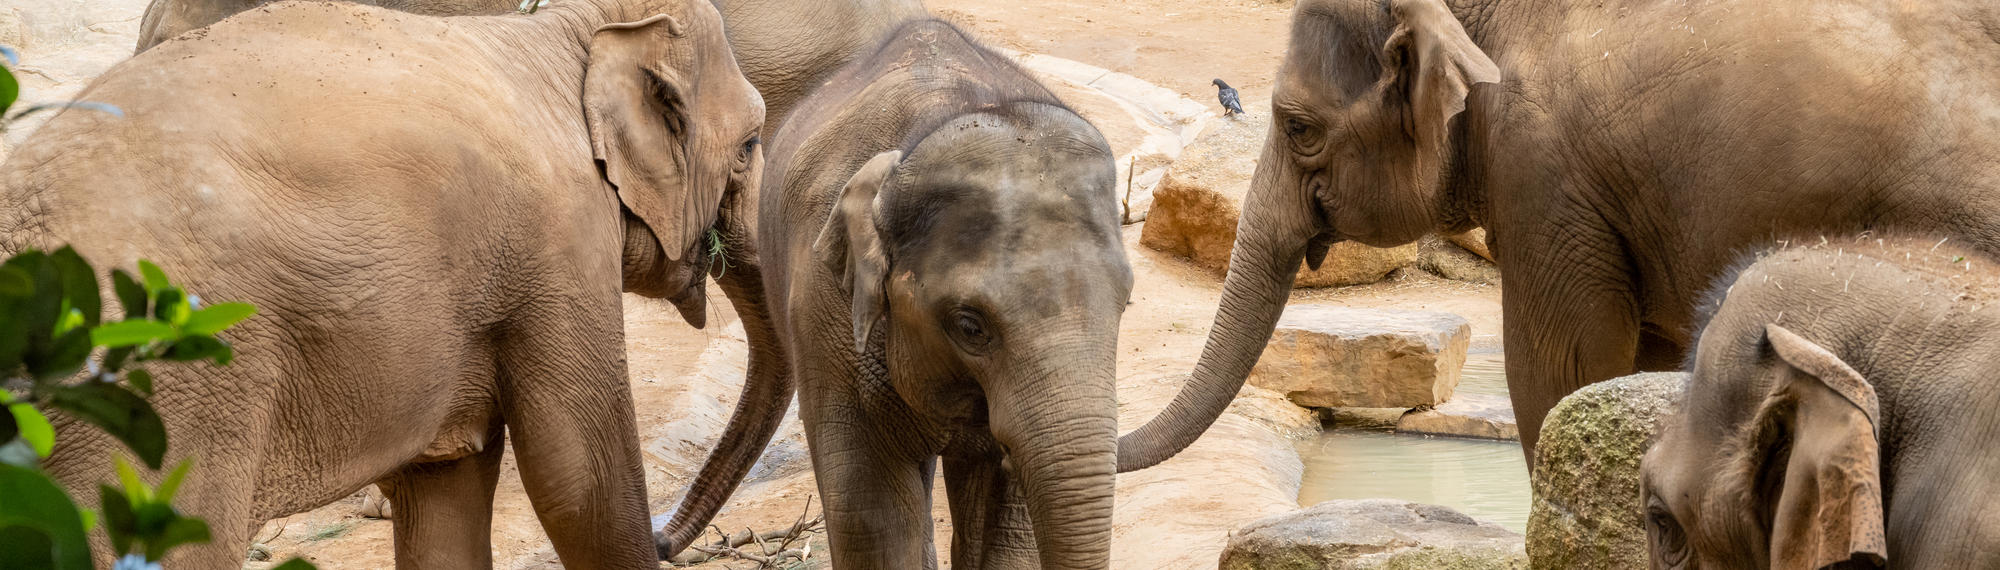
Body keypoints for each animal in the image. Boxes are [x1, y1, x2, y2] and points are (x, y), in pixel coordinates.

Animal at [0, 0, 776, 564]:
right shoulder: (562, 244)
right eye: (749, 146)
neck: (567, 31)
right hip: (157, 383)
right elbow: (580, 482)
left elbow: (446, 484)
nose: (670, 539)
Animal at [672, 16, 1136, 564]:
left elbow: (1009, 521)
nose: (660, 541)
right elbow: (871, 514)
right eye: (970, 326)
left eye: (1125, 302)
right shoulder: (827, 314)